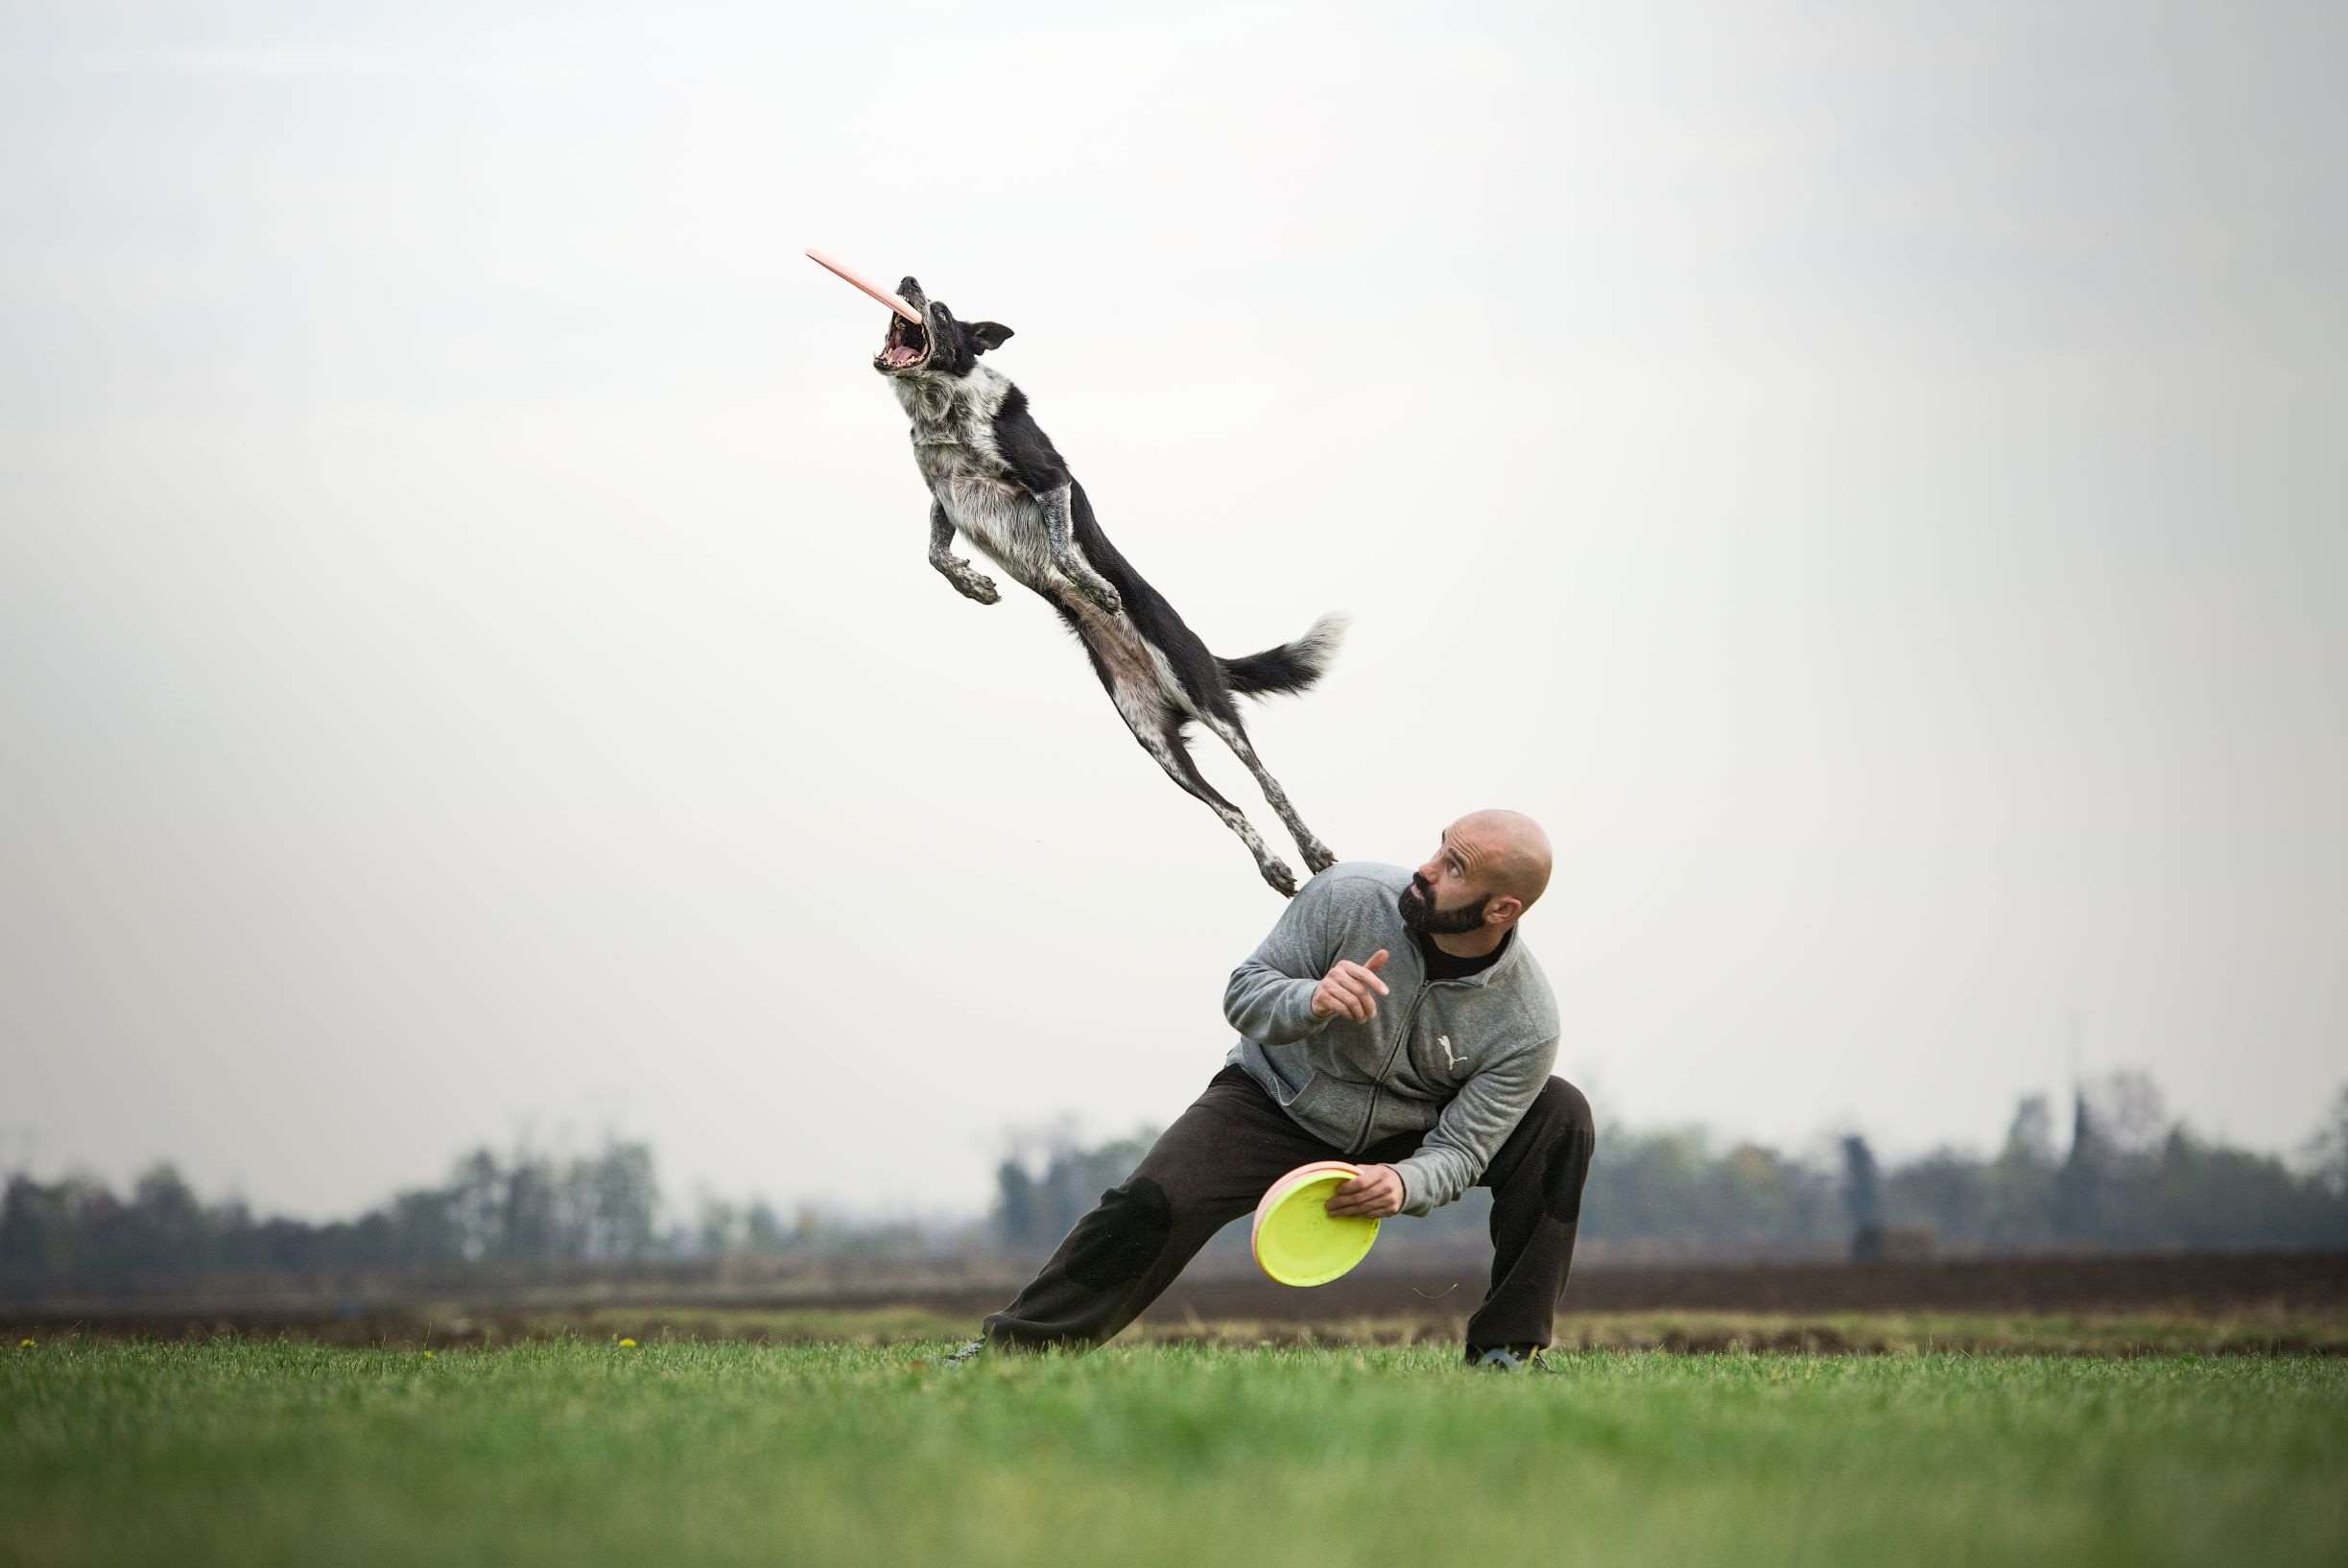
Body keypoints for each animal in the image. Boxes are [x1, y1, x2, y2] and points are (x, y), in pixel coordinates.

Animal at [868, 275, 1352, 901]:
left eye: (944, 312)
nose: (907, 281)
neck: (941, 406)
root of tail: (1203, 657)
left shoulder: (1051, 481)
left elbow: (1061, 550)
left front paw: (1099, 592)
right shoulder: (945, 499)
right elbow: (934, 555)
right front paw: (976, 586)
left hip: (1201, 694)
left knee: (1266, 782)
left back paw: (1312, 849)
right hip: (1155, 740)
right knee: (1230, 807)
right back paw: (1274, 868)